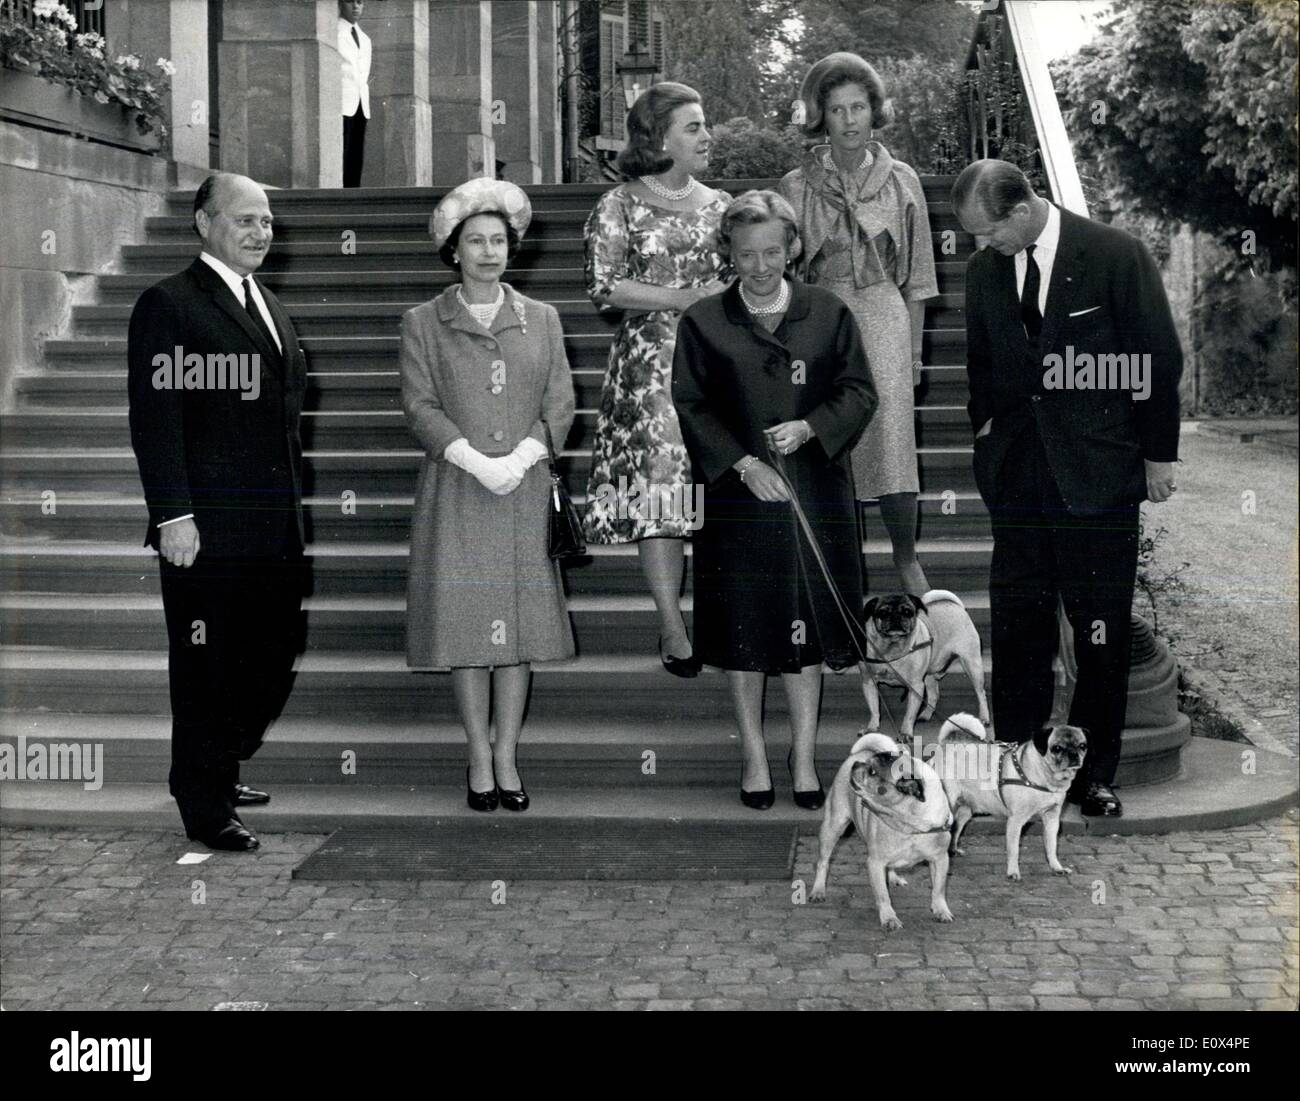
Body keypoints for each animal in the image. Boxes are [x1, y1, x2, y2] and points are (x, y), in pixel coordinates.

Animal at [806, 733, 951, 930]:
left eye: (873, 772)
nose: (857, 764)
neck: (909, 823)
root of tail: (859, 753)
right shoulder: (875, 863)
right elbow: (883, 895)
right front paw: (889, 918)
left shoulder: (940, 859)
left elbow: (939, 889)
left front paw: (940, 910)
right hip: (833, 826)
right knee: (823, 862)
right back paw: (818, 890)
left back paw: (894, 877)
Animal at [857, 590, 987, 738]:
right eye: (883, 612)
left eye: (908, 612)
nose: (896, 617)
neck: (892, 649)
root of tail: (956, 606)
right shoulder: (869, 683)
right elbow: (874, 709)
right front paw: (871, 728)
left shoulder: (915, 686)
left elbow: (909, 714)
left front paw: (906, 733)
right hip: (929, 675)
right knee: (934, 695)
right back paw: (926, 715)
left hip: (972, 664)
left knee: (981, 693)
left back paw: (984, 718)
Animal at [935, 712, 1086, 889]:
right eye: (1057, 748)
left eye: (1082, 746)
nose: (1074, 755)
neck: (1045, 776)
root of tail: (946, 743)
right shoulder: (1016, 821)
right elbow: (1014, 850)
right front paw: (1013, 872)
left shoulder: (1052, 819)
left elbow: (1051, 846)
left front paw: (1056, 867)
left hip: (966, 810)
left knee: (956, 828)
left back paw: (953, 850)